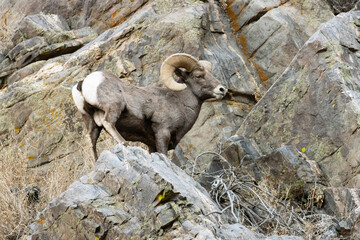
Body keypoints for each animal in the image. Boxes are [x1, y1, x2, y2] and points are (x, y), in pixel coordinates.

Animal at [71, 53, 226, 160]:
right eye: (198, 76)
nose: (222, 89)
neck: (179, 101)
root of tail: (83, 83)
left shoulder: (151, 144)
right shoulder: (163, 132)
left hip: (90, 121)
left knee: (91, 139)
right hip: (114, 106)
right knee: (108, 123)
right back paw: (124, 144)